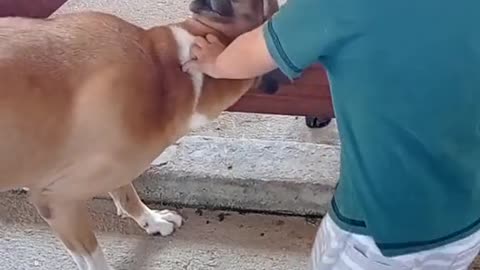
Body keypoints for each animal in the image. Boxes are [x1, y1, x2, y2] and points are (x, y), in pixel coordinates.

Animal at [0, 1, 278, 268]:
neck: (165, 72)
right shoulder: (57, 201)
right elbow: (93, 258)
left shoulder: (111, 169)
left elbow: (127, 194)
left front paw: (153, 221)